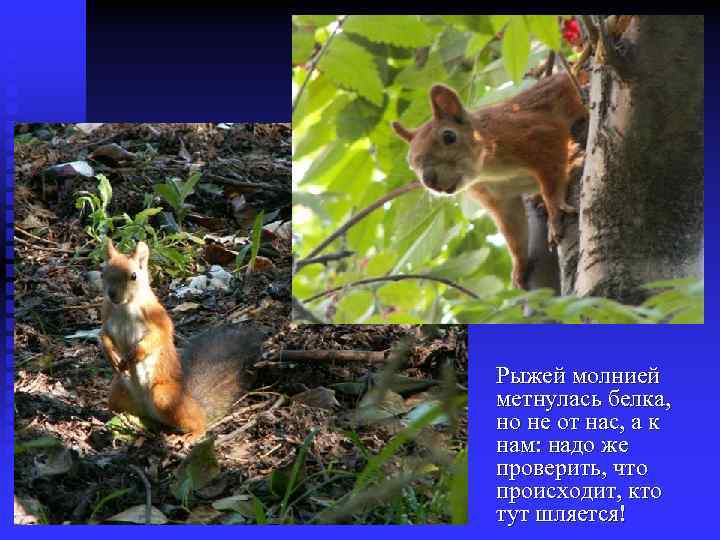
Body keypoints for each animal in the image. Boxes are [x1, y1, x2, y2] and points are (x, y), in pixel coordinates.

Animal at [100, 239, 262, 441]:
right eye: (103, 273)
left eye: (133, 276)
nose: (112, 294)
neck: (124, 306)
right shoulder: (107, 316)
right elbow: (104, 335)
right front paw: (110, 355)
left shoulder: (156, 317)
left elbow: (158, 336)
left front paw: (133, 355)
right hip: (118, 393)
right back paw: (126, 419)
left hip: (164, 396)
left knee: (198, 422)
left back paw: (192, 434)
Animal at [392, 72, 586, 289]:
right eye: (410, 162)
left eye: (449, 136)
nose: (429, 180)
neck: (488, 170)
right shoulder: (497, 198)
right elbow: (513, 231)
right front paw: (519, 266)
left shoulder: (537, 134)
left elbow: (552, 183)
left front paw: (555, 213)